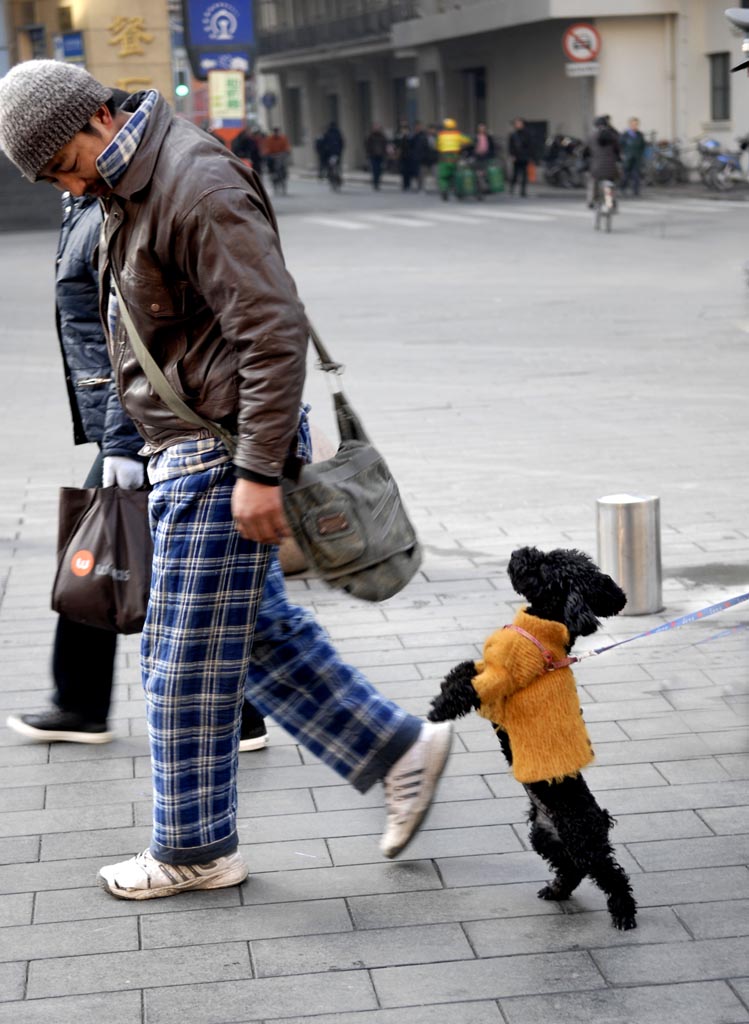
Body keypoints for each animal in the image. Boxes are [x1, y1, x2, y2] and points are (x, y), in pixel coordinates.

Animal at [428, 548, 639, 933]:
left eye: (545, 565)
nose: (518, 552)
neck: (541, 630)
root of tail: (598, 819)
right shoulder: (487, 670)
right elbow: (464, 668)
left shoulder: (496, 688)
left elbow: (466, 684)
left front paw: (438, 710)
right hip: (545, 835)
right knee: (571, 867)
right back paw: (556, 890)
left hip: (581, 838)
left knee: (607, 872)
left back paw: (623, 912)